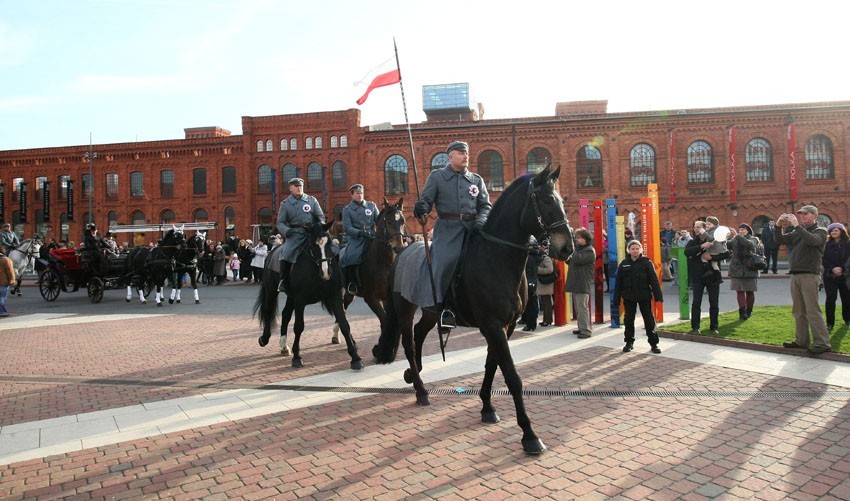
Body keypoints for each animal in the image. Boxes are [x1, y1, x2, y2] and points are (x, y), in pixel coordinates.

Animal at [250, 221, 360, 370]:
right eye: (313, 244)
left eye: (329, 243)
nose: (326, 272)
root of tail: (272, 251)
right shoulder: (300, 300)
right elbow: (299, 327)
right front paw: (297, 357)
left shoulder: (335, 296)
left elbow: (344, 323)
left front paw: (355, 357)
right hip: (272, 290)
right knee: (268, 309)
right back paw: (264, 338)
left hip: (291, 297)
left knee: (285, 314)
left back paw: (284, 346)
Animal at [332, 197, 408, 342]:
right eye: (389, 222)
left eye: (402, 221)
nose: (399, 247)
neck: (384, 264)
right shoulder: (371, 298)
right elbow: (384, 321)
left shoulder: (386, 298)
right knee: (340, 309)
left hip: (349, 293)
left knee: (344, 307)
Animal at [374, 166, 572, 456]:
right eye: (546, 200)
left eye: (561, 200)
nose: (567, 247)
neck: (496, 258)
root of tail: (403, 252)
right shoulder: (492, 325)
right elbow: (511, 375)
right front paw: (529, 435)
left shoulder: (504, 326)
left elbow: (491, 365)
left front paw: (487, 408)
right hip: (405, 308)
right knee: (409, 343)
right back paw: (420, 390)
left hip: (431, 310)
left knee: (420, 334)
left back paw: (415, 372)